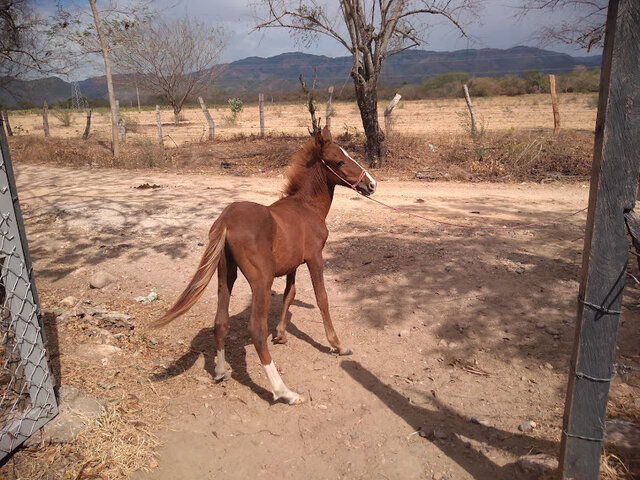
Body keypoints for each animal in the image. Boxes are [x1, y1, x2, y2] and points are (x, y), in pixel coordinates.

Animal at [155, 126, 376, 404]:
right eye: (339, 161)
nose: (371, 184)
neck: (306, 207)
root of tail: (226, 221)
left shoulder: (293, 264)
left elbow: (289, 294)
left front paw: (281, 334)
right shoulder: (315, 258)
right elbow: (322, 298)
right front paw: (337, 345)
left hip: (225, 275)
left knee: (221, 321)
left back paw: (220, 372)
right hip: (261, 279)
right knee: (256, 329)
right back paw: (284, 392)